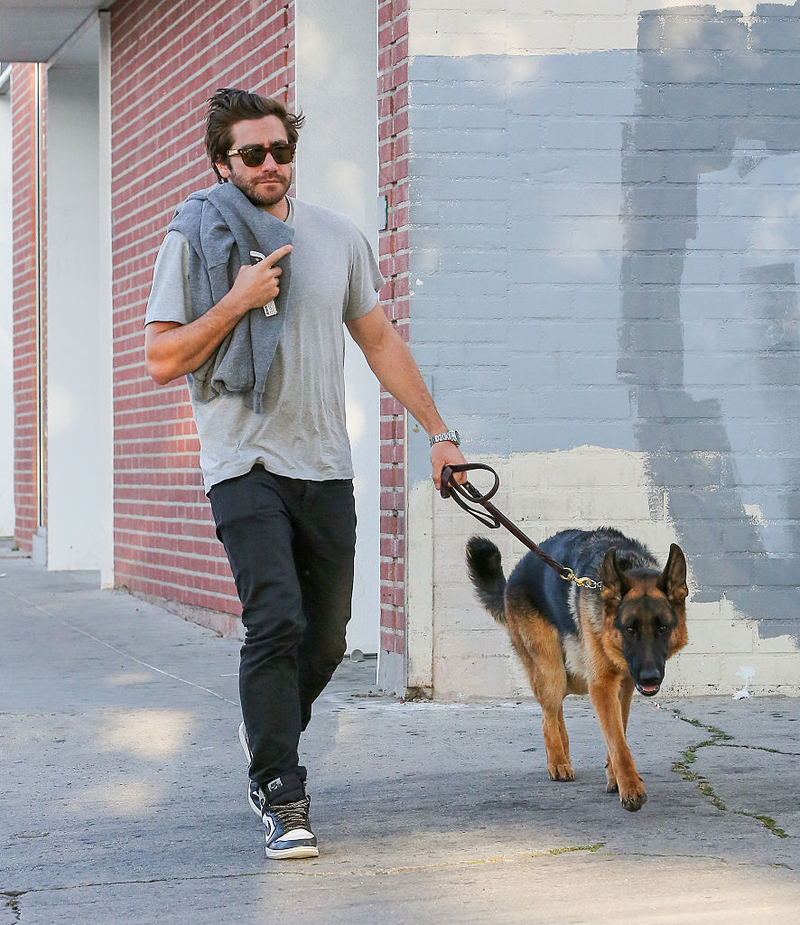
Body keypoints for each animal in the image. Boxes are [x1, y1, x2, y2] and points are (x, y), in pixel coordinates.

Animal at [468, 528, 688, 808]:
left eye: (662, 628)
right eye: (630, 629)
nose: (650, 677)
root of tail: (512, 578)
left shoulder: (625, 684)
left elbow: (620, 729)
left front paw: (614, 777)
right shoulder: (602, 684)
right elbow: (618, 742)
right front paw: (630, 788)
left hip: (568, 674)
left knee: (556, 711)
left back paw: (564, 754)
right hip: (551, 670)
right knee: (547, 716)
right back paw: (558, 763)